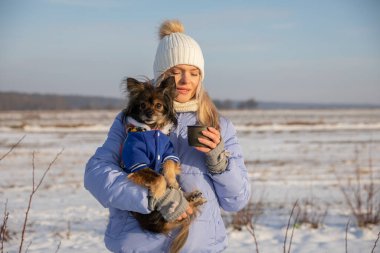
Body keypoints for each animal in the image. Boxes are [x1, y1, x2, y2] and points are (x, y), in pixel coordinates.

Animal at [121, 76, 205, 253]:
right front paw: (160, 193)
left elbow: (169, 166)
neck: (152, 130)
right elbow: (158, 177)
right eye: (142, 105)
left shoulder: (168, 153)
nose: (149, 113)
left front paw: (172, 183)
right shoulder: (137, 163)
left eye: (158, 105)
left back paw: (193, 197)